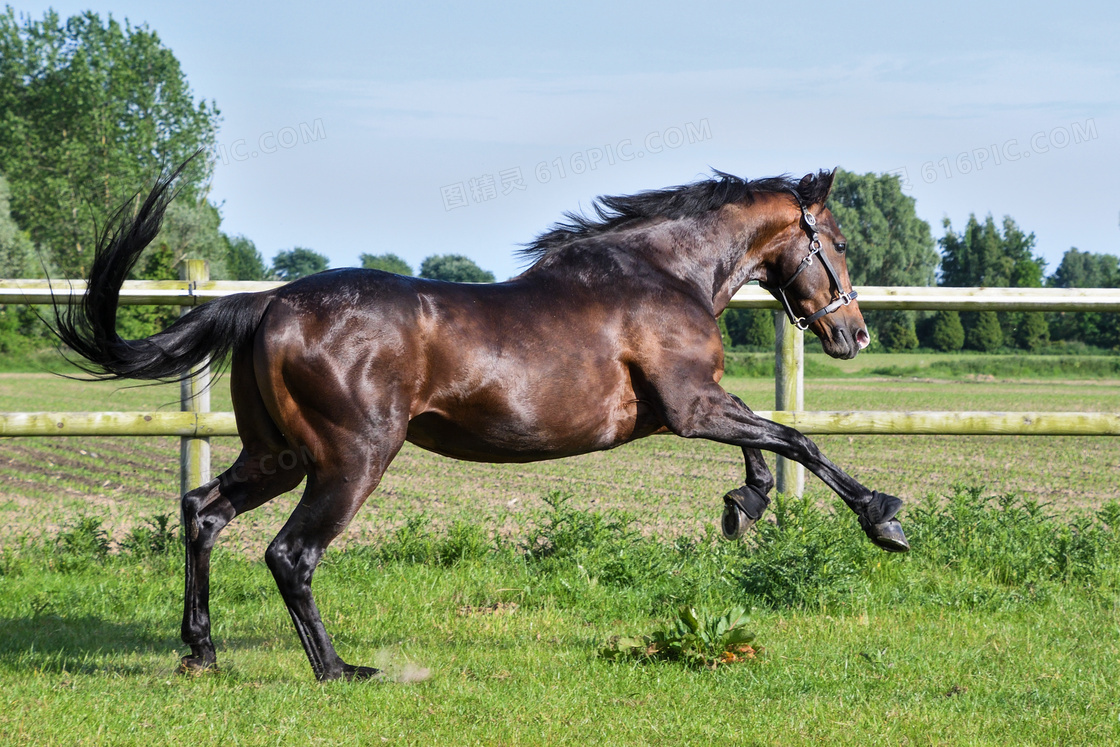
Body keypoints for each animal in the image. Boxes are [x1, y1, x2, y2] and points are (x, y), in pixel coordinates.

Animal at [54, 166, 909, 680]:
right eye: (835, 242)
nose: (855, 334)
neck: (665, 275)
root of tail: (266, 302)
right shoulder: (693, 406)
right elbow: (798, 438)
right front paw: (885, 520)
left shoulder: (694, 409)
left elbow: (770, 449)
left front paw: (744, 508)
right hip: (352, 460)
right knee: (290, 554)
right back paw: (339, 669)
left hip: (280, 455)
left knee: (203, 513)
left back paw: (201, 651)